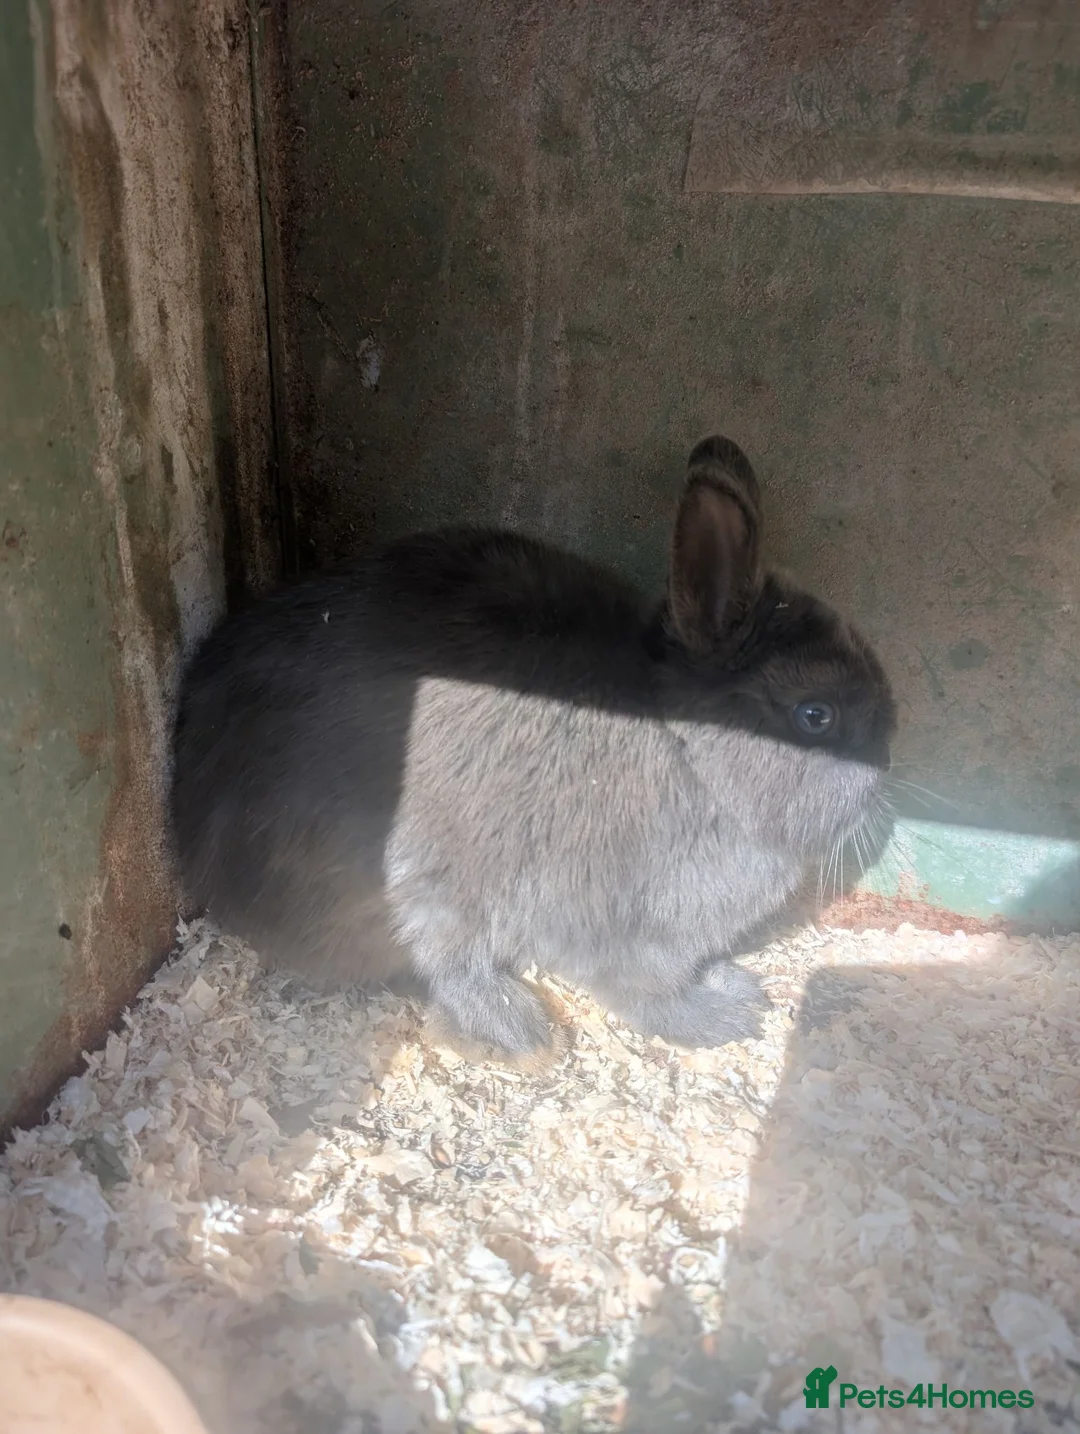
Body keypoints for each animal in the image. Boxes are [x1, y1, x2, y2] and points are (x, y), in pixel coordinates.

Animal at [170, 435, 896, 1066]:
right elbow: (647, 992)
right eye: (816, 716)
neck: (691, 754)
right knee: (447, 968)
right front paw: (725, 1015)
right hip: (421, 892)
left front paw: (735, 987)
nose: (887, 766)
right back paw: (520, 1032)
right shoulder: (629, 931)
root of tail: (198, 848)